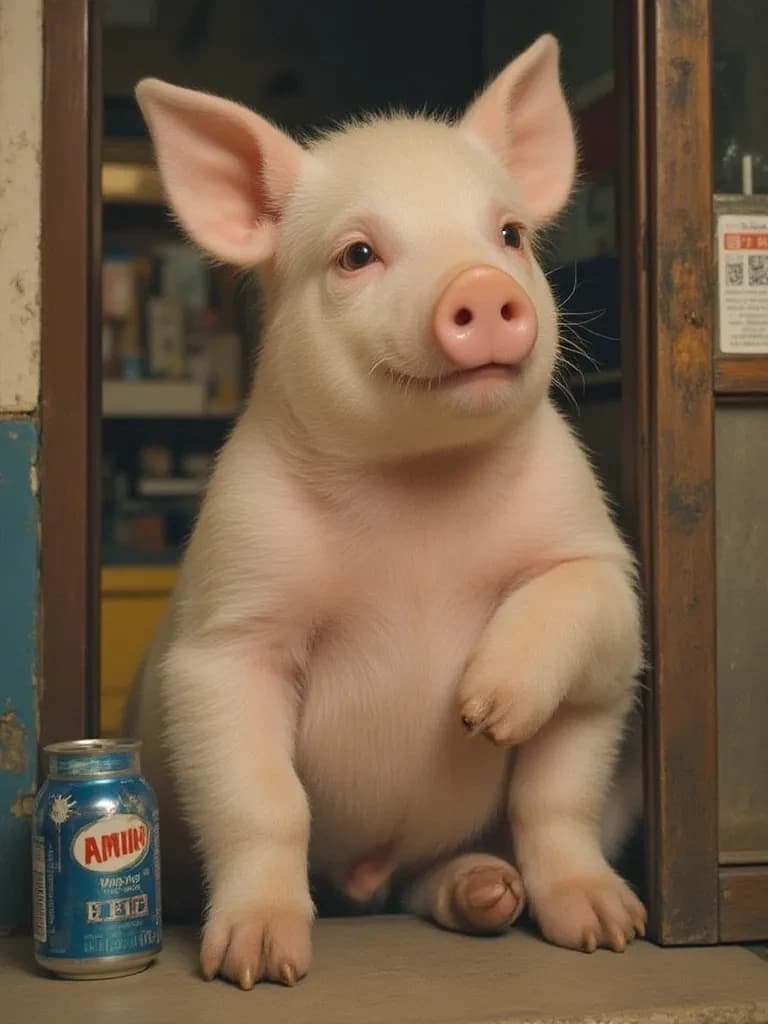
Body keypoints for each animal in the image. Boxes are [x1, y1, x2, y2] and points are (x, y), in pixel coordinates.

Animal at [126, 33, 646, 989]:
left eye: (509, 234)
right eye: (357, 255)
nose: (480, 285)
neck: (419, 499)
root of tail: (363, 879)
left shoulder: (599, 562)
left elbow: (560, 784)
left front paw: (486, 714)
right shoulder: (228, 626)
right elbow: (265, 803)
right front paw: (258, 966)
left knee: (463, 860)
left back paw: (510, 901)